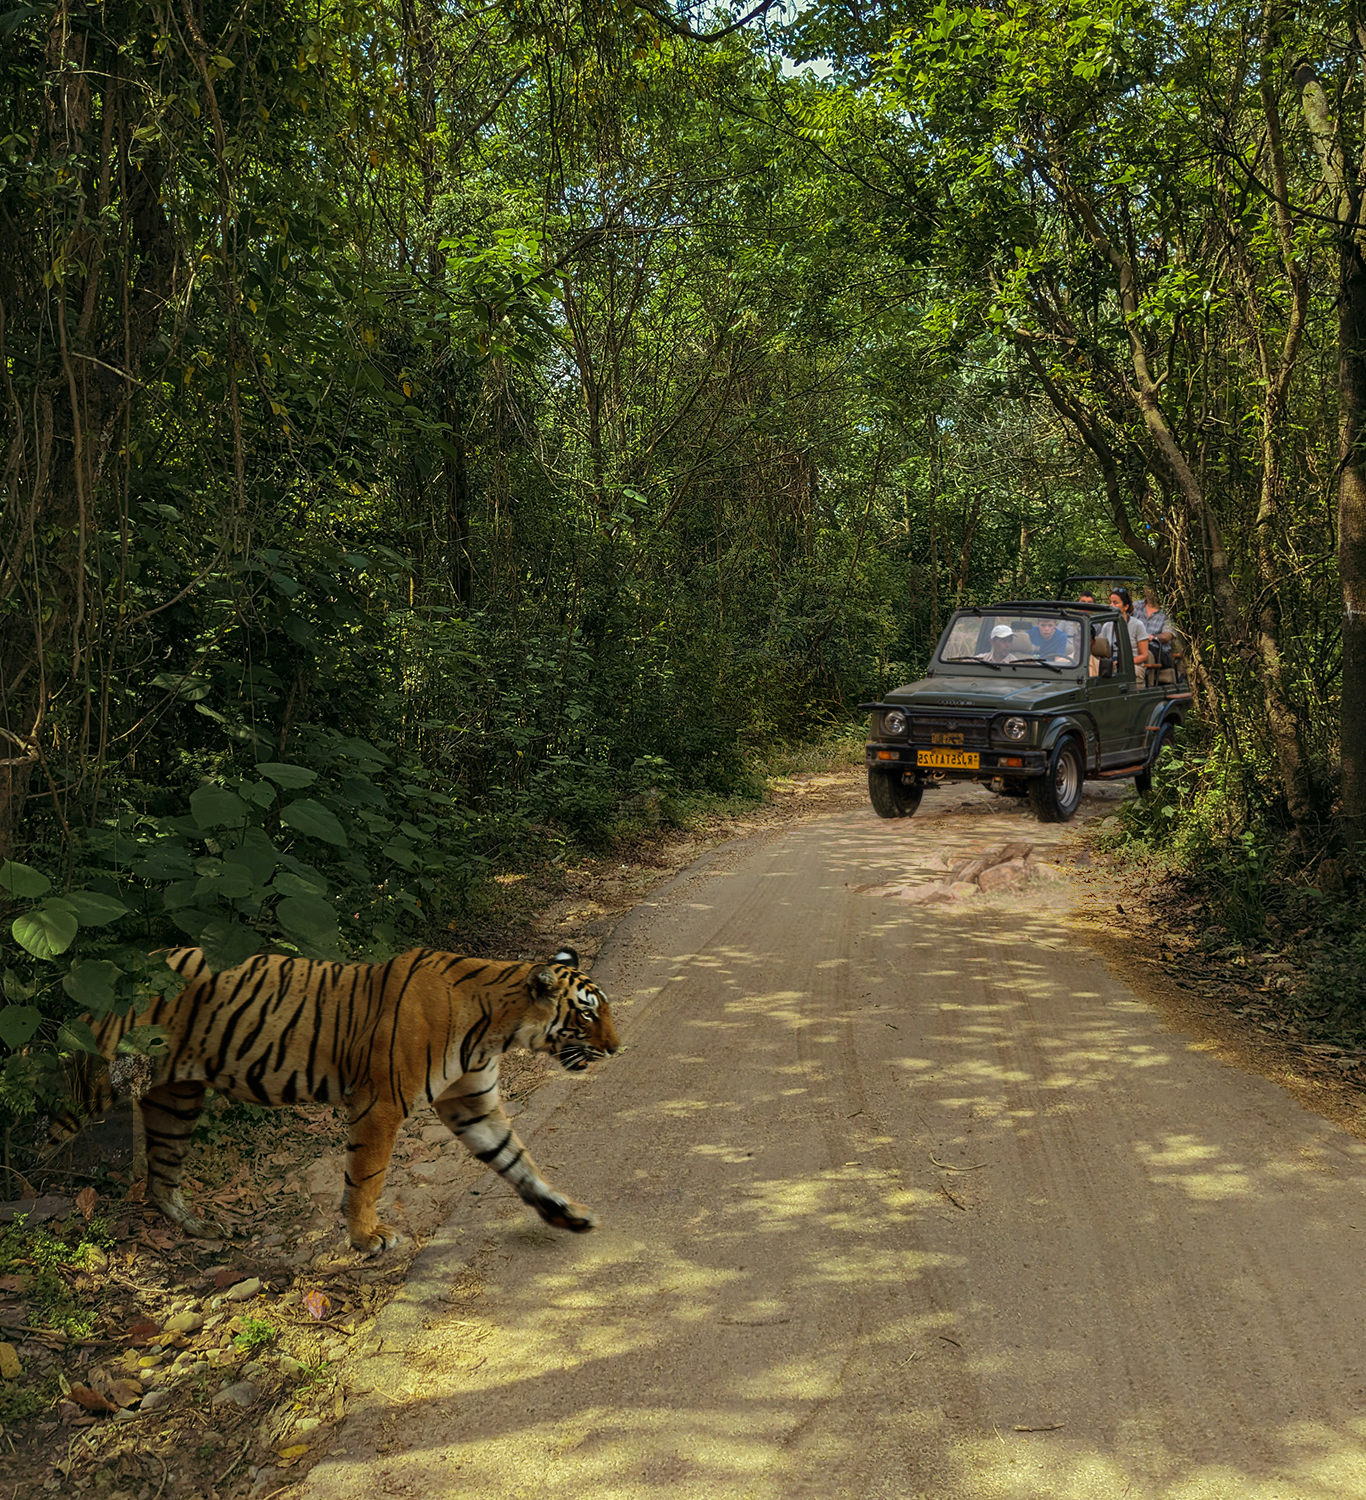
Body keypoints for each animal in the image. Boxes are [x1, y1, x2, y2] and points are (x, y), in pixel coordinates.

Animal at [55, 944, 619, 1254]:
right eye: (588, 1013)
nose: (617, 1048)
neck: (498, 1028)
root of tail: (123, 966)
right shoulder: (382, 1102)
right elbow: (367, 1177)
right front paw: (367, 1238)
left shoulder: (473, 1104)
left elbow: (518, 1160)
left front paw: (566, 1213)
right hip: (92, 1084)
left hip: (177, 1099)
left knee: (161, 1175)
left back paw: (198, 1226)